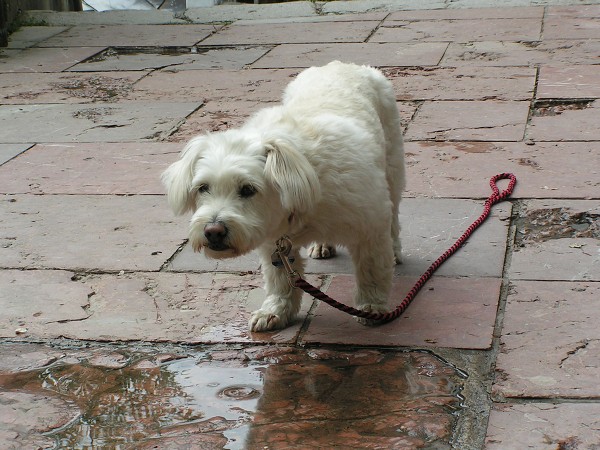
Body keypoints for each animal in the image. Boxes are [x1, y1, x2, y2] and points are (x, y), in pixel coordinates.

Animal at [162, 61, 406, 332]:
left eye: (248, 189)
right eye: (203, 187)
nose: (213, 231)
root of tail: (341, 64)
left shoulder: (369, 225)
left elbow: (372, 270)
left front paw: (372, 306)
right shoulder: (273, 242)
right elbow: (280, 279)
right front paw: (276, 311)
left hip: (392, 164)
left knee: (394, 213)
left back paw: (394, 249)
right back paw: (322, 245)